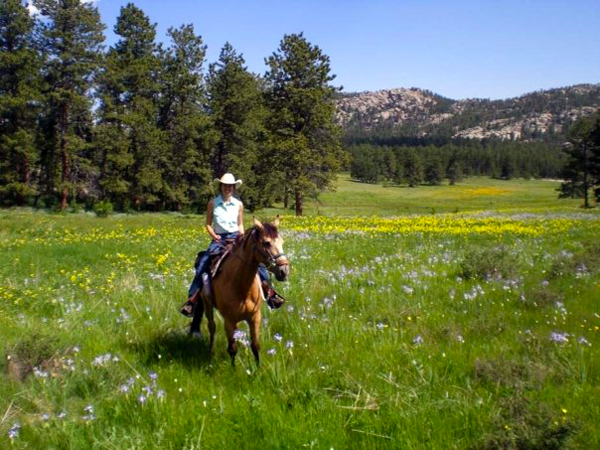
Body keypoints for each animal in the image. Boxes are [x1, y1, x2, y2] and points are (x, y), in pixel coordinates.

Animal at [189, 217, 290, 366]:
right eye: (267, 243)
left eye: (282, 241)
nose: (284, 271)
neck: (241, 286)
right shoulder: (229, 320)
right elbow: (232, 348)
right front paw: (233, 369)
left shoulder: (255, 317)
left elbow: (255, 346)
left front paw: (258, 368)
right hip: (207, 305)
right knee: (212, 327)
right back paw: (210, 351)